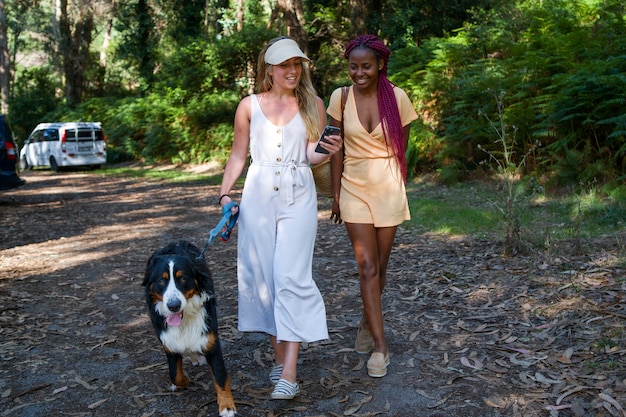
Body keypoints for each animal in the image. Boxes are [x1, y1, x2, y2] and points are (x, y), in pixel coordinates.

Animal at [142, 239, 236, 416]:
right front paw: (183, 381)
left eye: (183, 279)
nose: (173, 306)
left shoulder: (210, 341)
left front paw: (227, 406)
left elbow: (219, 376)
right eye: (161, 281)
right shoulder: (169, 342)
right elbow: (175, 374)